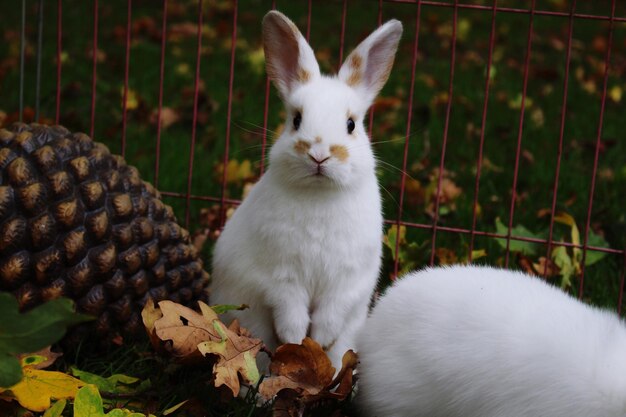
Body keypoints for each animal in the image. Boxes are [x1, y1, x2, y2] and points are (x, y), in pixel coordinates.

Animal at [210, 9, 402, 368]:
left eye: (351, 124)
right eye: (296, 119)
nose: (319, 154)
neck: (319, 194)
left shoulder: (347, 280)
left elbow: (332, 312)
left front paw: (320, 340)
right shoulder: (280, 275)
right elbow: (289, 309)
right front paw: (297, 339)